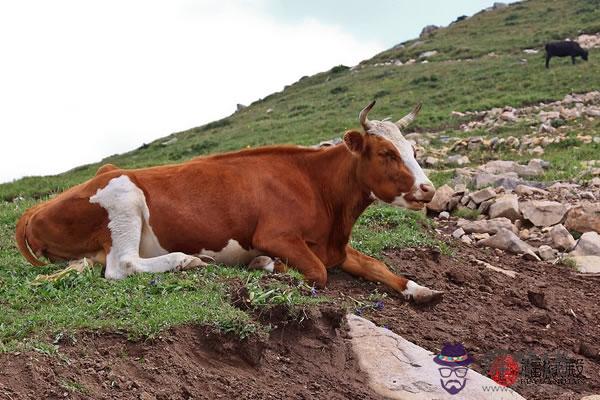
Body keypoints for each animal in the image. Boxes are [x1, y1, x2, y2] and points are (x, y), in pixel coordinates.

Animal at [15, 100, 440, 304]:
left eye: (414, 150)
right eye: (386, 153)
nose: (428, 189)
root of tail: (33, 210)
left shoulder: (335, 245)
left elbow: (377, 265)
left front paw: (419, 289)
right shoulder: (275, 236)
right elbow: (316, 273)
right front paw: (265, 265)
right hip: (123, 197)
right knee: (122, 265)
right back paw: (186, 260)